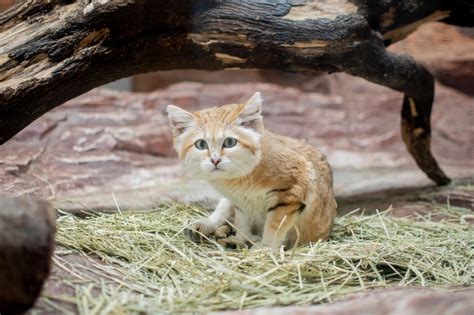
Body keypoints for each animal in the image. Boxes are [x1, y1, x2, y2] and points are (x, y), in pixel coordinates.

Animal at [167, 92, 336, 251]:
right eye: (201, 144)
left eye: (230, 142)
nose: (215, 160)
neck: (240, 178)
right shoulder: (239, 201)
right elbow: (242, 223)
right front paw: (240, 240)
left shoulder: (290, 194)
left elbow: (274, 227)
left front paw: (265, 248)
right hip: (226, 201)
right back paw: (204, 227)